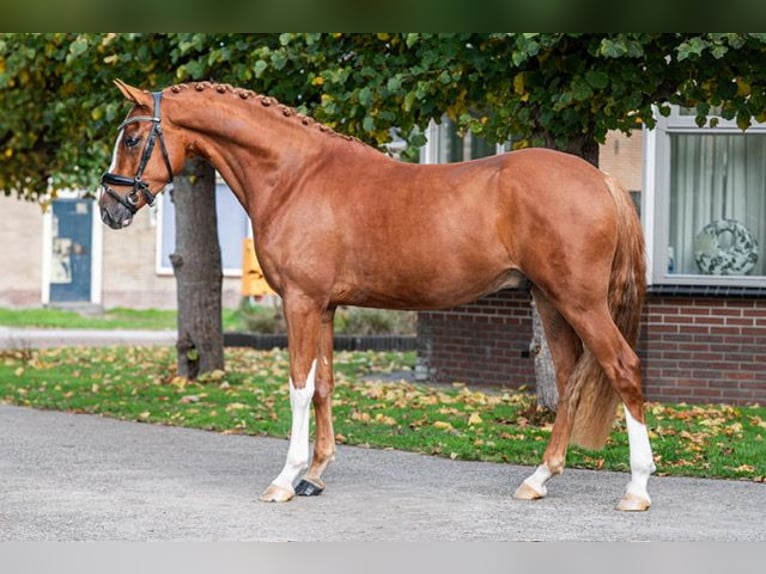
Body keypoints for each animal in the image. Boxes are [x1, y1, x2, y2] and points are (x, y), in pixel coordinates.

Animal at [99, 80, 655, 511]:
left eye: (133, 136)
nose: (109, 207)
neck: (295, 175)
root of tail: (602, 180)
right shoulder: (324, 307)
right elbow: (324, 385)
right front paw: (315, 475)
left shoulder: (300, 302)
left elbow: (299, 386)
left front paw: (285, 479)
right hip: (549, 300)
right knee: (567, 379)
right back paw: (538, 479)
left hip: (579, 302)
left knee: (623, 367)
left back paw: (636, 488)